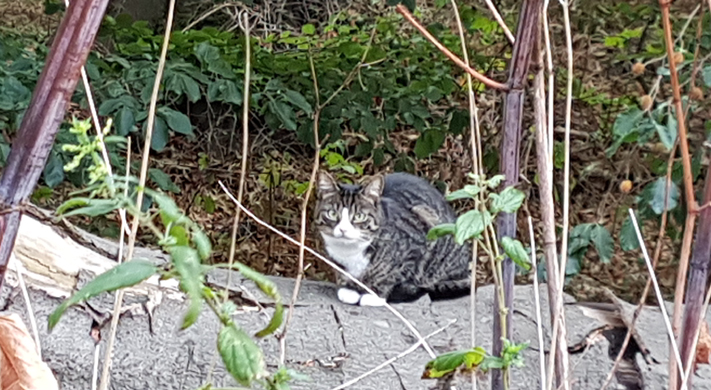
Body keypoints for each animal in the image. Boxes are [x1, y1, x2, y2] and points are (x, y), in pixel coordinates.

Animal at [316, 172, 472, 306]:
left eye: (359, 216)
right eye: (332, 214)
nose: (343, 229)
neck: (349, 252)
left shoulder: (415, 247)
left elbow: (389, 275)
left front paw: (375, 294)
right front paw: (350, 289)